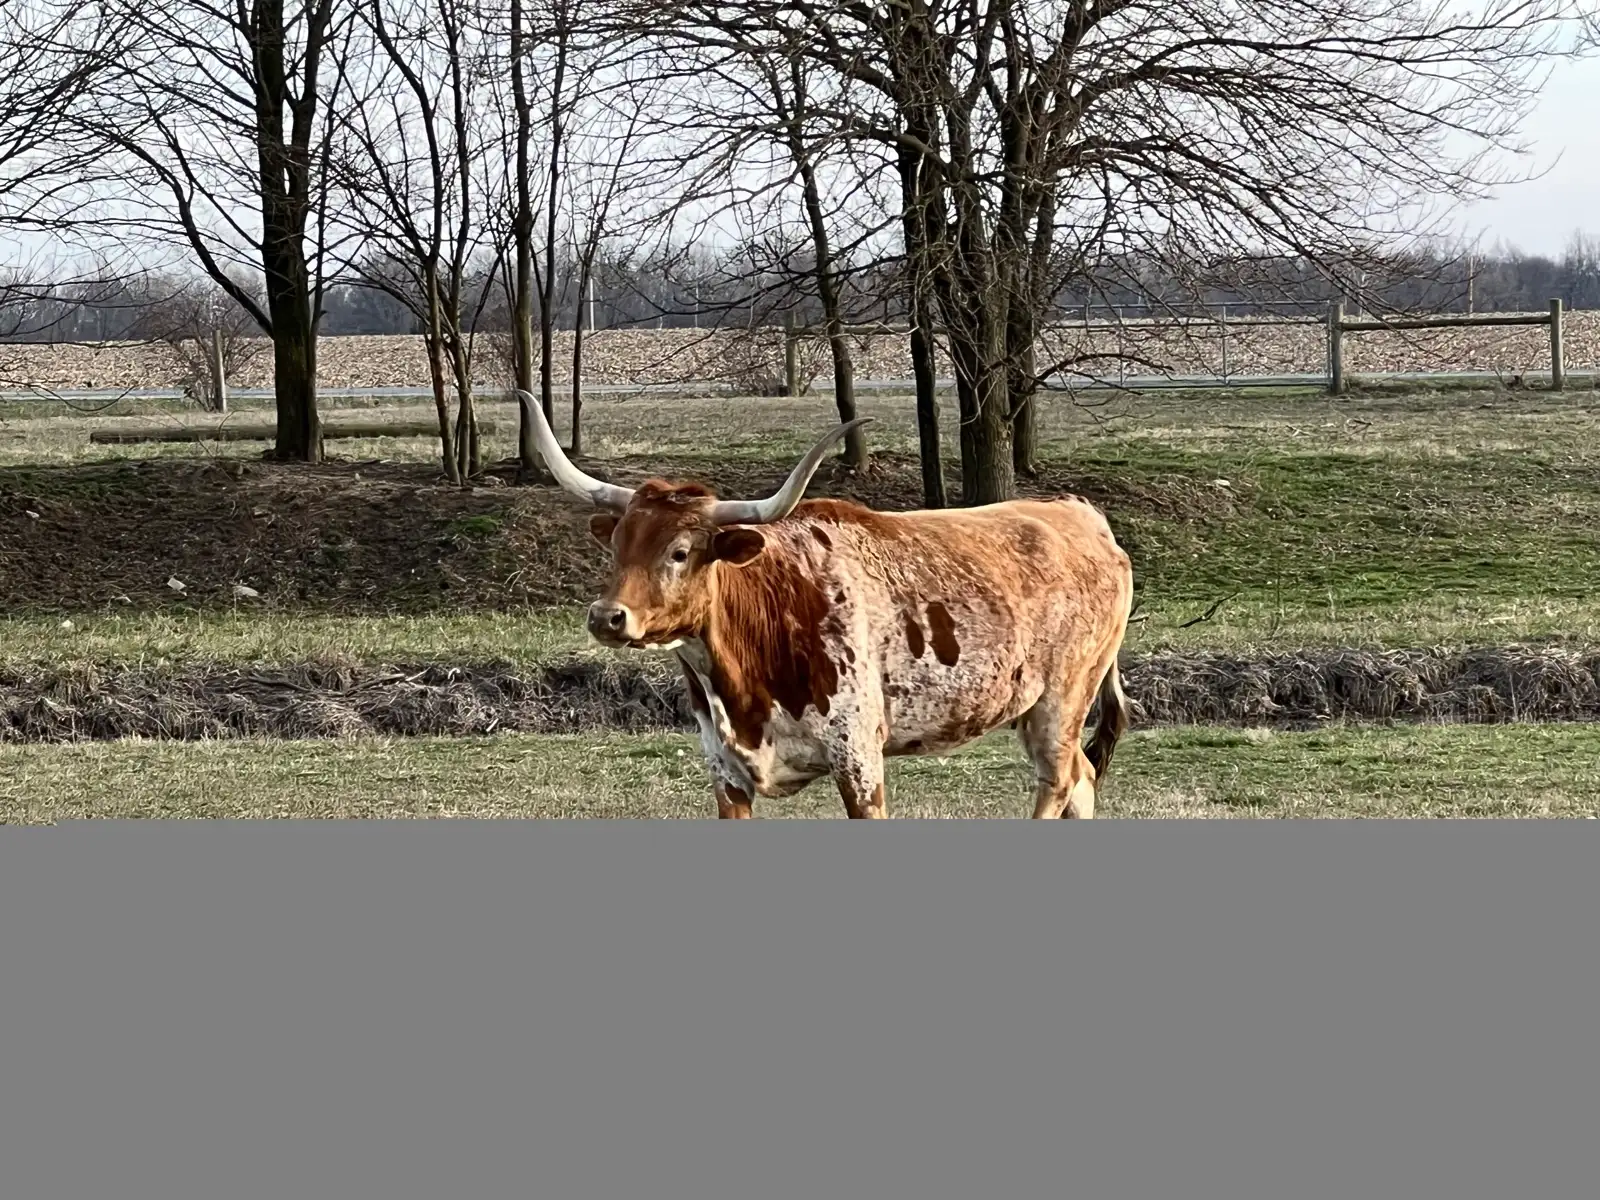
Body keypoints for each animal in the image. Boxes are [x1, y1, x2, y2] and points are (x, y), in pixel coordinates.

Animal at [516, 389, 1134, 819]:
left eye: (681, 551)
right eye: (619, 544)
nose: (607, 617)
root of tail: (1080, 512)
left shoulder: (859, 760)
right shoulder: (726, 772)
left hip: (1060, 704)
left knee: (1061, 781)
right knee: (1082, 779)